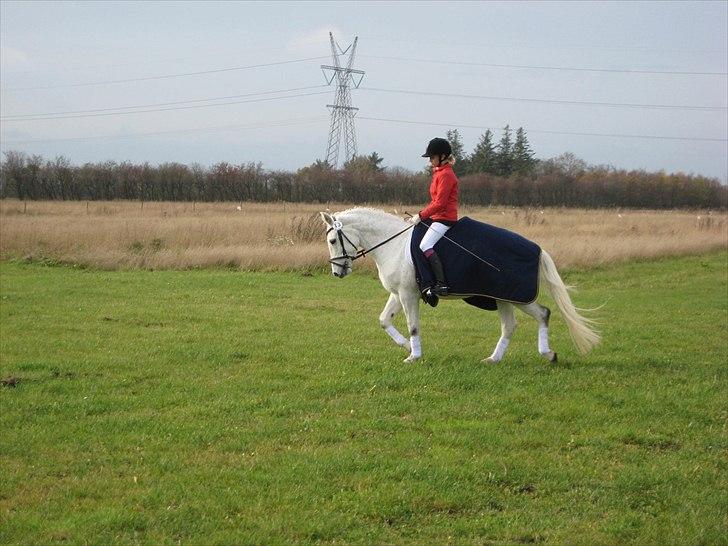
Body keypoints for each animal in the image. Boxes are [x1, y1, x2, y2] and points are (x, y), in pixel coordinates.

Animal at [322, 207, 600, 362]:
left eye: (333, 240)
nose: (337, 272)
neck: (394, 245)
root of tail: (537, 249)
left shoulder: (408, 294)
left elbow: (413, 326)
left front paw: (414, 355)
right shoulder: (399, 293)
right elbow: (384, 320)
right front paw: (406, 346)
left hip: (515, 296)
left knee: (541, 314)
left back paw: (545, 353)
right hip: (503, 297)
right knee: (512, 325)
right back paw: (495, 359)